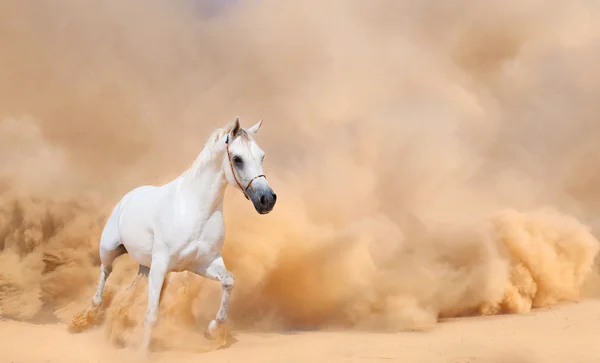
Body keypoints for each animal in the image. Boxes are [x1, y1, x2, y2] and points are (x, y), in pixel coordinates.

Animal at [85, 118, 276, 354]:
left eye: (262, 156)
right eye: (237, 159)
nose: (267, 199)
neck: (195, 209)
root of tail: (128, 197)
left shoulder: (204, 263)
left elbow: (228, 282)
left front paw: (211, 330)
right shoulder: (161, 265)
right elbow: (152, 315)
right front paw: (143, 352)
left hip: (145, 266)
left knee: (131, 286)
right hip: (110, 249)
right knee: (105, 273)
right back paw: (89, 313)